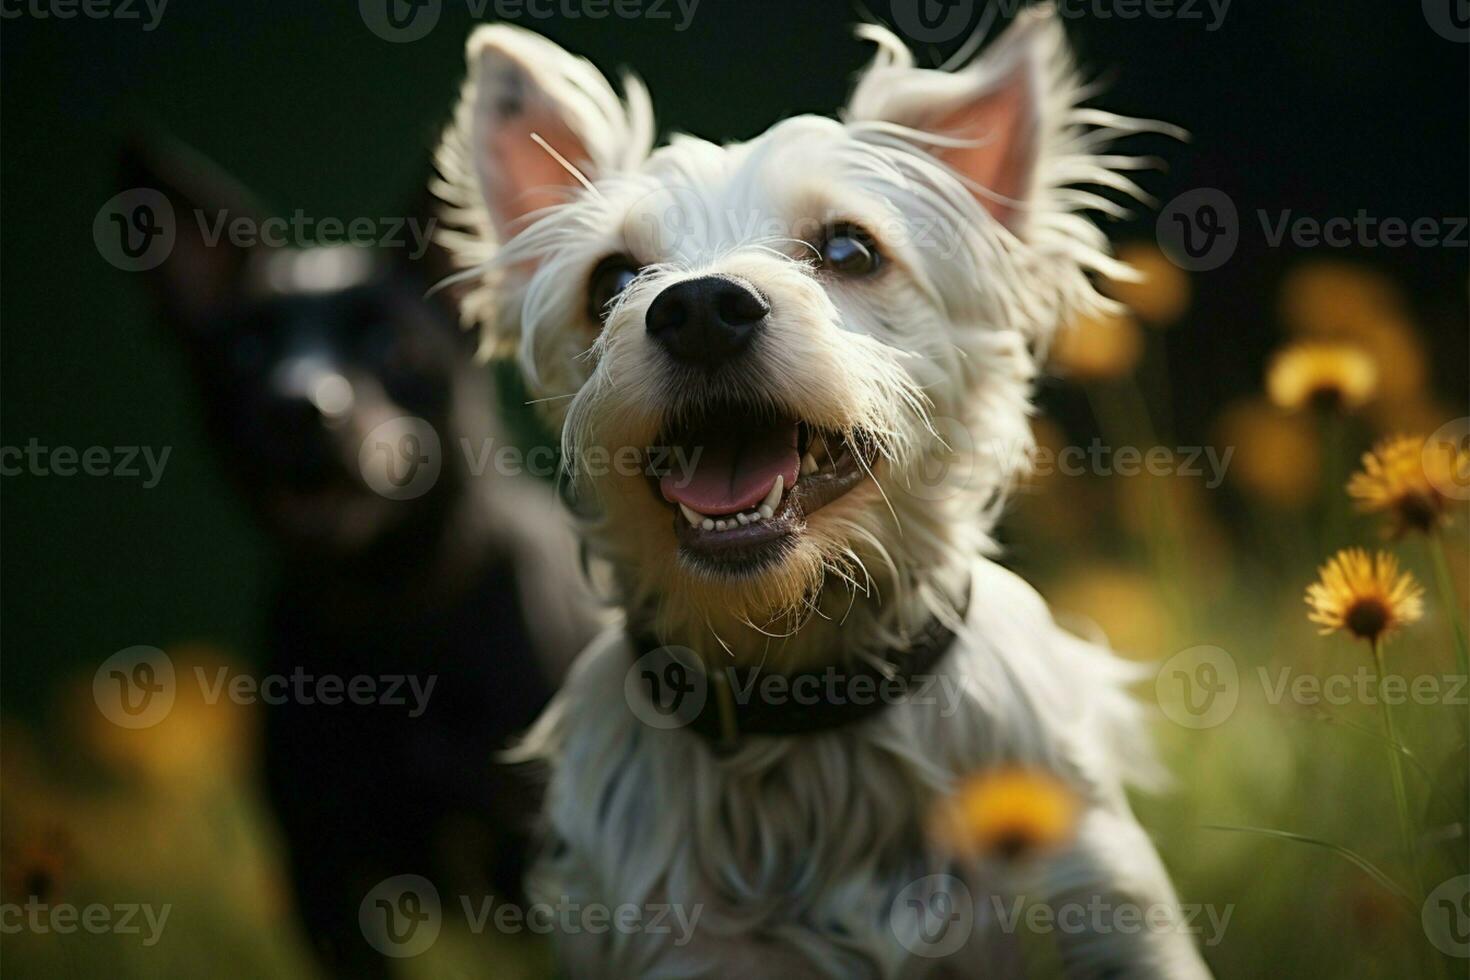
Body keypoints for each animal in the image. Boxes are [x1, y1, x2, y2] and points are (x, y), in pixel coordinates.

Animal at [123, 141, 599, 975]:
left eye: (390, 343)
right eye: (245, 350)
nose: (298, 404)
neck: (392, 614)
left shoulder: (539, 857)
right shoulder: (325, 875)